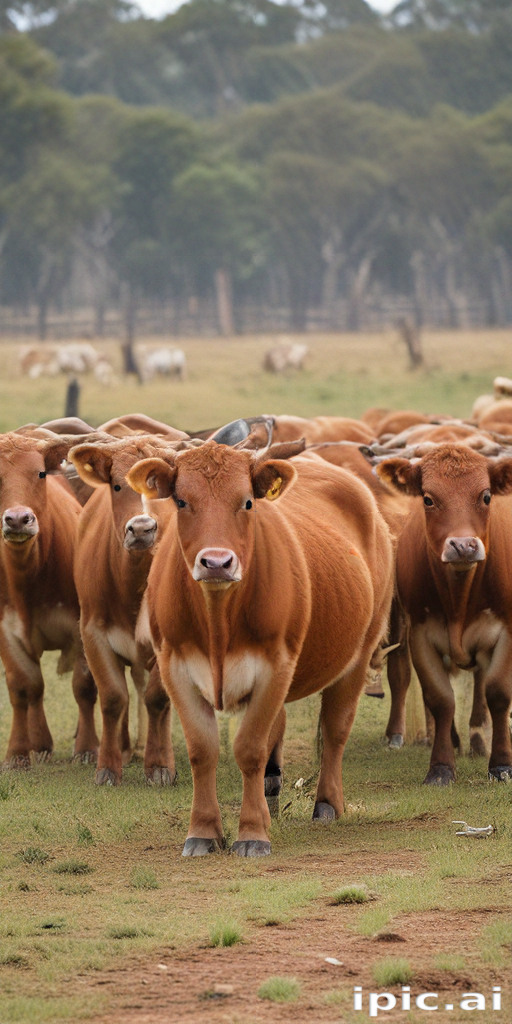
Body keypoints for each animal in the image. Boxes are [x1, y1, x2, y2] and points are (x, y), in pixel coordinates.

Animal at [0, 432, 99, 766]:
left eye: (40, 473)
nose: (18, 519)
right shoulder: (6, 631)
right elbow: (23, 687)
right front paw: (17, 752)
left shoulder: (84, 623)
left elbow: (84, 685)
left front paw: (88, 747)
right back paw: (40, 742)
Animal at [70, 431, 191, 786]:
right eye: (116, 485)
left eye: (163, 490)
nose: (141, 528)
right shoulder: (92, 633)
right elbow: (113, 697)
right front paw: (108, 766)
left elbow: (158, 698)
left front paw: (160, 765)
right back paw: (125, 747)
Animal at [126, 440, 394, 856]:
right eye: (182, 501)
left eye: (248, 502)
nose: (216, 562)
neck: (218, 619)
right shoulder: (175, 668)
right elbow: (203, 750)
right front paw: (203, 831)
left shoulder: (275, 668)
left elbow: (250, 749)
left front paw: (252, 832)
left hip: (361, 651)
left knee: (335, 729)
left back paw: (327, 804)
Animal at [376, 443, 512, 784]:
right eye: (428, 498)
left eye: (486, 496)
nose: (463, 545)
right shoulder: (420, 633)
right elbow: (440, 698)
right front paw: (440, 767)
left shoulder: (507, 630)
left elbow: (498, 693)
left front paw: (501, 764)